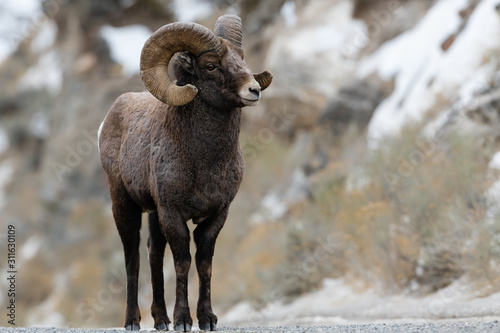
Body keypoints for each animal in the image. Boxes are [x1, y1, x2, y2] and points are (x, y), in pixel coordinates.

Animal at [98, 14, 274, 330]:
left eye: (241, 58)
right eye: (211, 65)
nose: (253, 90)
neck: (204, 162)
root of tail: (108, 119)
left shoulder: (217, 215)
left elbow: (204, 264)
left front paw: (207, 319)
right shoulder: (173, 213)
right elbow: (182, 262)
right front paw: (183, 320)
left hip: (154, 215)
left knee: (153, 253)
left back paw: (161, 320)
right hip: (125, 205)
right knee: (133, 258)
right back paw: (133, 321)